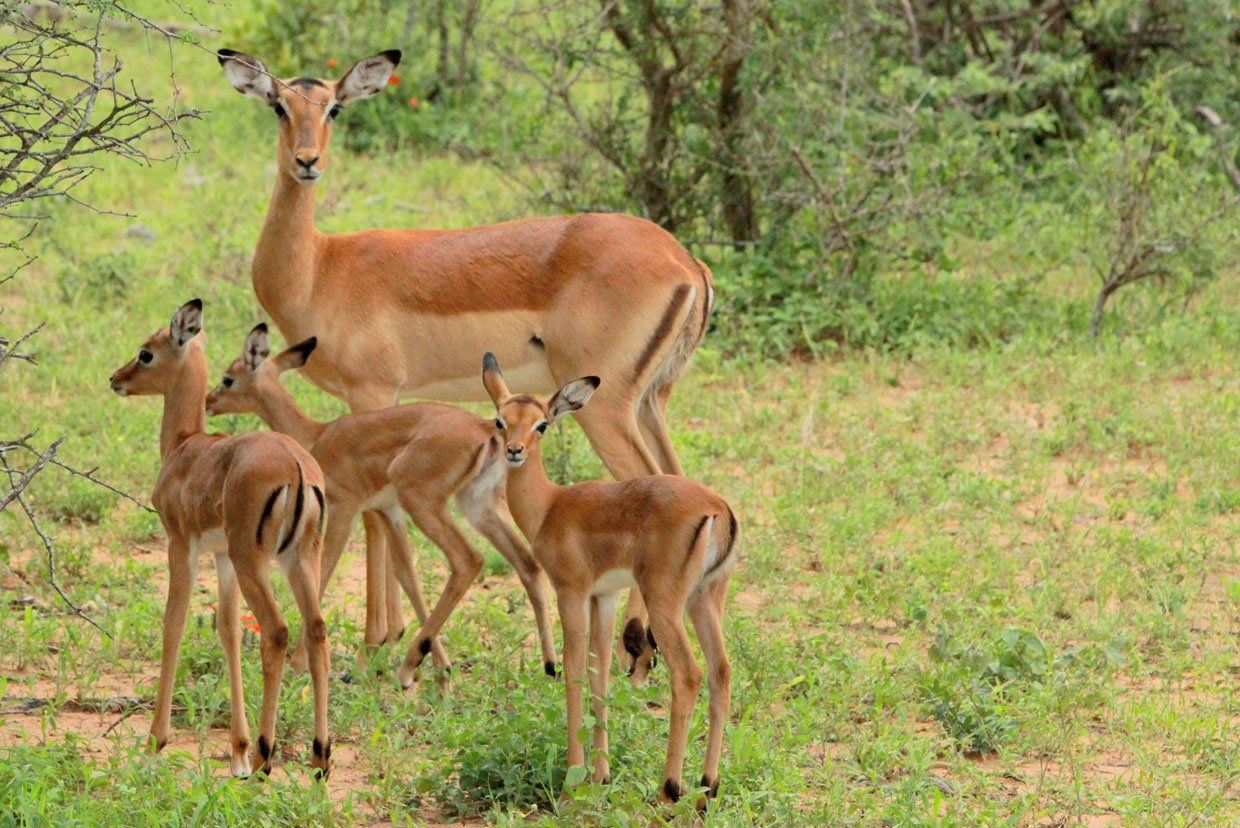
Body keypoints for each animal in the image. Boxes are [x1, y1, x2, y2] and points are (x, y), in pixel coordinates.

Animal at [108, 300, 331, 779]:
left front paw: (154, 742)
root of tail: (295, 465)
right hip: (298, 560)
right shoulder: (222, 559)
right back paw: (320, 759)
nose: (116, 378)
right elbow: (227, 630)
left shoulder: (181, 547)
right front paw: (237, 753)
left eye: (146, 353)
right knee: (316, 630)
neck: (185, 446)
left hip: (255, 562)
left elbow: (173, 623)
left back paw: (268, 757)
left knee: (277, 631)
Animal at [204, 325, 557, 685]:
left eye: (228, 378)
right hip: (477, 506)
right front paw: (441, 666)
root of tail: (487, 430)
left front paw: (300, 664)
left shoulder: (343, 509)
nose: (209, 401)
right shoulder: (389, 511)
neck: (316, 436)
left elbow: (324, 572)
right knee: (527, 564)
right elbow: (407, 576)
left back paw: (408, 665)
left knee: (468, 559)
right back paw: (548, 666)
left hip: (424, 502)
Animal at [482, 354, 737, 806]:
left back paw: (670, 789)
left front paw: (572, 780)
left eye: (541, 424)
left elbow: (573, 670)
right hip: (704, 598)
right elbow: (599, 674)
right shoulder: (605, 597)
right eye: (500, 420)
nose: (514, 451)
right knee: (720, 671)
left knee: (688, 674)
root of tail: (716, 508)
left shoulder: (571, 591)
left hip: (665, 602)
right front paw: (601, 775)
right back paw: (708, 787)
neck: (549, 506)